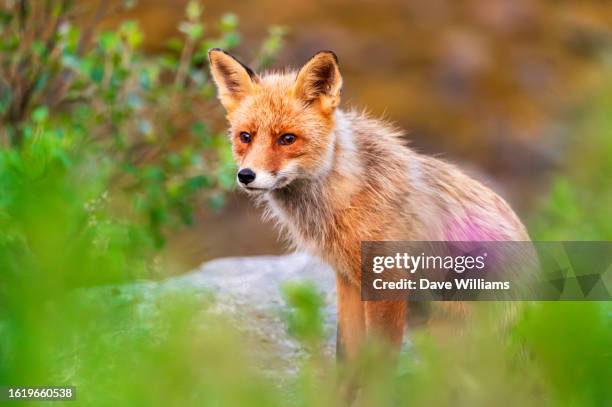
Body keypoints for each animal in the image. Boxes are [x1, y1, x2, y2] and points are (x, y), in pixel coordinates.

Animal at [208, 48, 528, 360]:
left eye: (287, 139)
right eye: (245, 137)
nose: (246, 175)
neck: (347, 196)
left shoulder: (388, 279)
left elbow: (379, 362)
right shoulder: (347, 279)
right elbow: (347, 355)